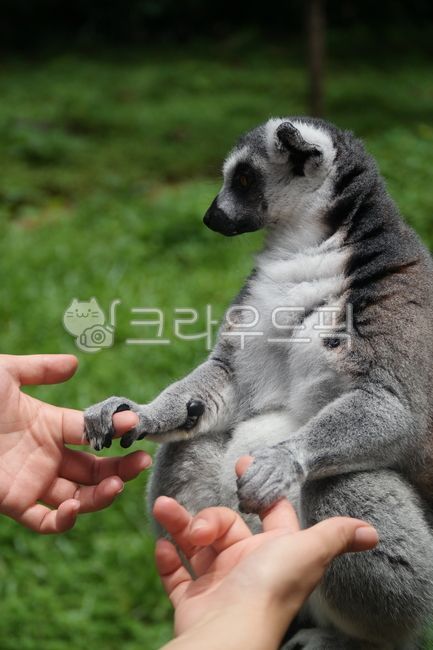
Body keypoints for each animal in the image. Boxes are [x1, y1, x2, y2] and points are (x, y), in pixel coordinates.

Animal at [84, 117, 433, 648]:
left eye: (244, 179)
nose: (211, 217)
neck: (306, 247)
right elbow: (228, 377)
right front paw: (140, 413)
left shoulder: (397, 309)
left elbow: (398, 411)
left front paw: (283, 459)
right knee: (188, 447)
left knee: (341, 484)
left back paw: (359, 639)